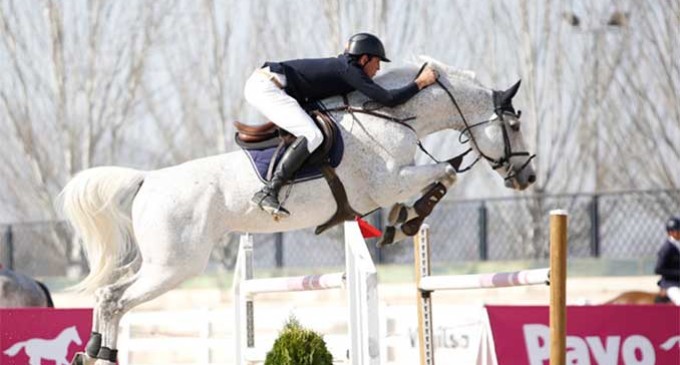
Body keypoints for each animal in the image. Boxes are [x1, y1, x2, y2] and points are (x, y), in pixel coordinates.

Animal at [59, 55, 536, 362]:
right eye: (513, 124)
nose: (527, 177)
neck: (390, 118)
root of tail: (148, 179)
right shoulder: (387, 183)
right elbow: (446, 173)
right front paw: (411, 218)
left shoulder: (390, 184)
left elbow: (433, 180)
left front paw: (401, 221)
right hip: (175, 265)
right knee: (118, 300)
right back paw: (104, 352)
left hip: (156, 262)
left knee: (108, 293)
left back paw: (96, 350)